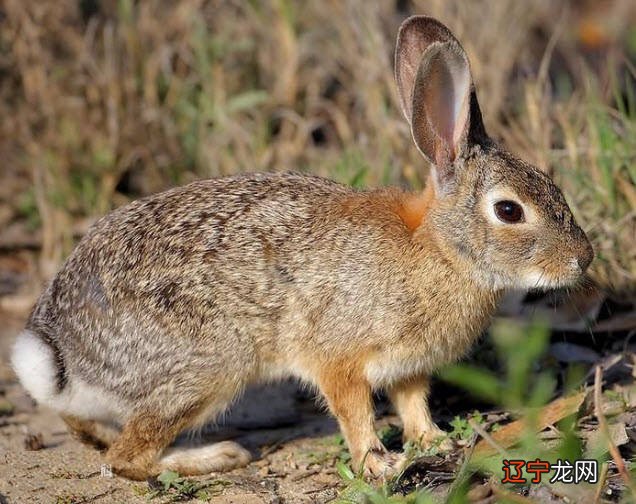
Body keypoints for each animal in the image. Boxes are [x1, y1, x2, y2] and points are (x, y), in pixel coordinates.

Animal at [12, 15, 592, 480]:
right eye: (509, 211)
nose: (582, 259)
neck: (439, 249)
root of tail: (61, 352)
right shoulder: (338, 357)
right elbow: (354, 412)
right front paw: (380, 464)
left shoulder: (408, 367)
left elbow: (412, 403)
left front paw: (433, 440)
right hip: (208, 365)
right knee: (127, 458)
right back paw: (215, 457)